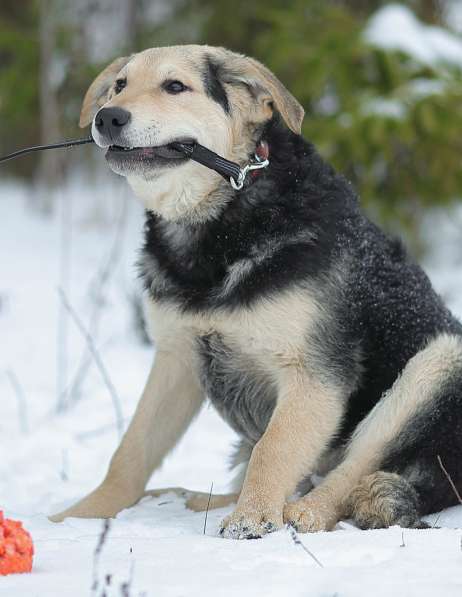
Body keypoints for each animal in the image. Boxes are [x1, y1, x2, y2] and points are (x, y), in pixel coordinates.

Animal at [48, 43, 460, 536]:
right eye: (119, 85)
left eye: (175, 86)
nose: (107, 117)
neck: (223, 219)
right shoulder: (176, 357)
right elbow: (131, 449)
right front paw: (83, 515)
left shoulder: (313, 373)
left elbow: (274, 448)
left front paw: (253, 518)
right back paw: (194, 499)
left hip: (436, 365)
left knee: (350, 473)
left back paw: (303, 511)